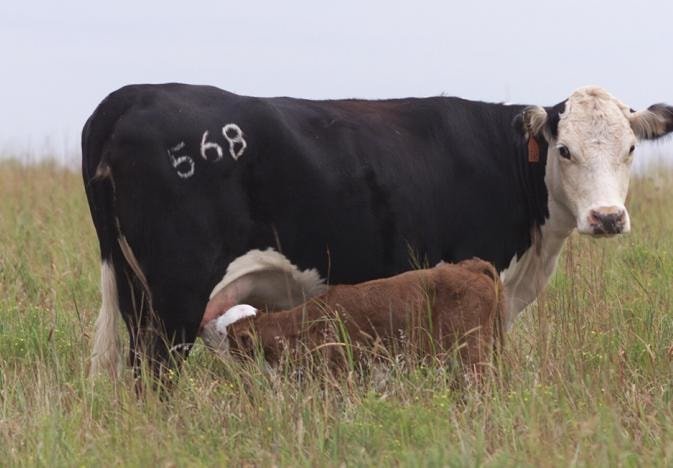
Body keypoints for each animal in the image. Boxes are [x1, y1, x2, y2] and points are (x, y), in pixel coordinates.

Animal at [84, 82, 672, 380]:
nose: (607, 217)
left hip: (133, 293)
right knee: (154, 378)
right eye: (565, 149)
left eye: (631, 149)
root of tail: (131, 95)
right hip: (171, 303)